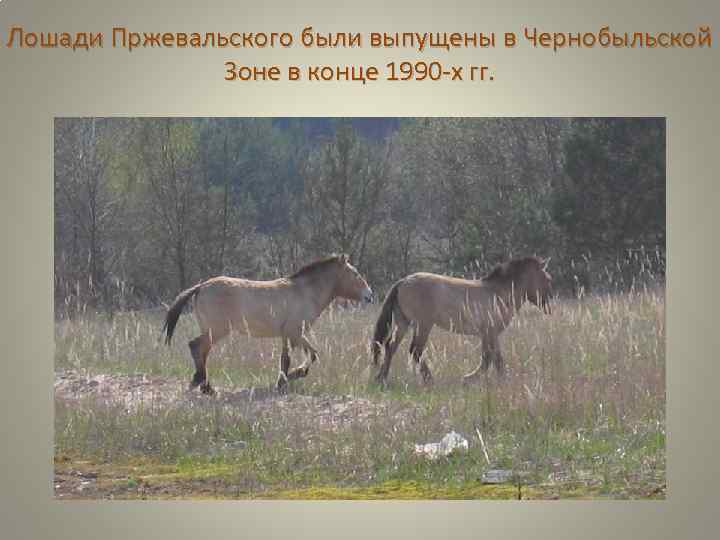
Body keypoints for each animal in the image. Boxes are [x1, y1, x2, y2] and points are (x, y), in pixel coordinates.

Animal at [163, 254, 373, 394]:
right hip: (216, 330)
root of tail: (201, 287)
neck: (304, 292)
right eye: (355, 274)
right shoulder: (296, 333)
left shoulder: (287, 335)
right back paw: (203, 385)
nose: (370, 295)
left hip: (211, 331)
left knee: (202, 351)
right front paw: (295, 374)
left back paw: (204, 385)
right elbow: (313, 355)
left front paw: (282, 382)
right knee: (196, 347)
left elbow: (285, 359)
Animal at [371, 256, 552, 385]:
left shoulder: (488, 334)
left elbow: (491, 358)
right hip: (423, 325)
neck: (498, 293)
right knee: (415, 350)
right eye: (548, 279)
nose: (548, 307)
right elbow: (492, 359)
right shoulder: (490, 332)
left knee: (390, 347)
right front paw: (473, 378)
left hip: (403, 323)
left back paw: (381, 378)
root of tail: (403, 281)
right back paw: (429, 379)